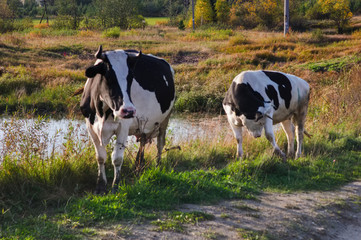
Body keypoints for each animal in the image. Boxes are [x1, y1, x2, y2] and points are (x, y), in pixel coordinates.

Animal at [81, 46, 176, 194]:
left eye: (131, 77)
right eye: (108, 76)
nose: (129, 110)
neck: (102, 113)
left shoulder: (123, 128)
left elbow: (117, 158)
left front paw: (115, 186)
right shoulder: (90, 126)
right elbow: (100, 157)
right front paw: (100, 186)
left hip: (165, 119)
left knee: (160, 144)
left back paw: (157, 167)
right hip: (144, 125)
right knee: (143, 141)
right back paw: (138, 169)